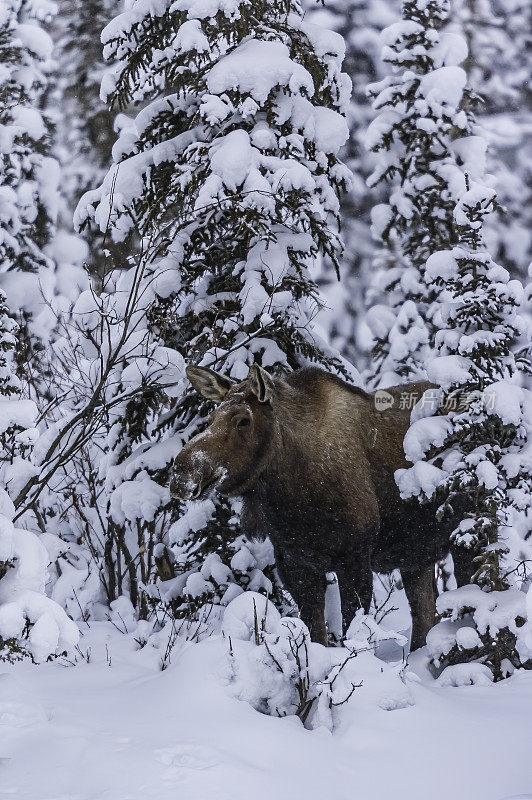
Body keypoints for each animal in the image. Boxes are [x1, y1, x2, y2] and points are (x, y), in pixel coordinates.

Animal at [169, 362, 470, 648]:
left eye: (244, 420)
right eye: (210, 418)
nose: (181, 471)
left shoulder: (355, 557)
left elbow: (353, 631)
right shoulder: (295, 565)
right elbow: (316, 634)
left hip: (462, 535)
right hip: (416, 556)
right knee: (424, 616)